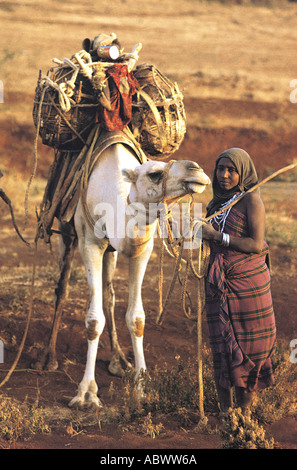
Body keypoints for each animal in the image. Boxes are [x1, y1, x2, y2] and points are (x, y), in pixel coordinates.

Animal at [35, 138, 208, 410]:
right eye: (154, 174)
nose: (197, 170)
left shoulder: (143, 249)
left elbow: (136, 318)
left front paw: (142, 389)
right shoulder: (90, 242)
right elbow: (93, 320)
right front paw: (86, 394)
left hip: (111, 251)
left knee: (109, 295)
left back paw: (119, 361)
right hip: (66, 230)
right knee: (62, 287)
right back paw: (47, 358)